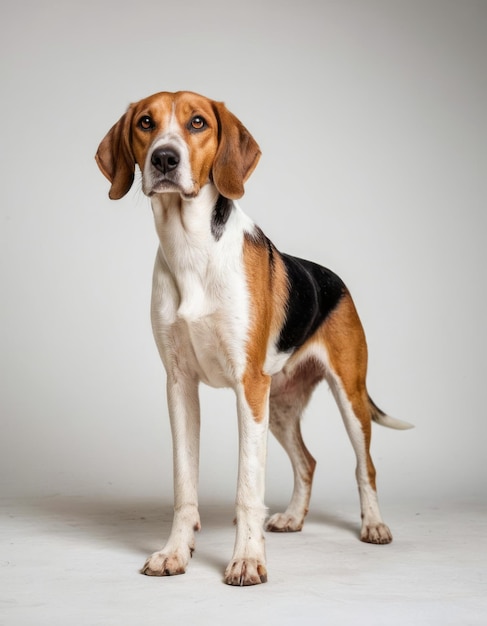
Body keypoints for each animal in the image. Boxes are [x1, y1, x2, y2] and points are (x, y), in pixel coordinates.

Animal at [95, 89, 412, 584]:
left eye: (198, 122)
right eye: (146, 122)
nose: (165, 158)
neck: (191, 250)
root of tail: (335, 280)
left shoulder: (247, 385)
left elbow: (248, 488)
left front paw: (246, 559)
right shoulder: (180, 386)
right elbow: (184, 484)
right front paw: (175, 553)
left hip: (346, 396)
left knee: (367, 468)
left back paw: (374, 526)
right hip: (277, 405)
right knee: (307, 462)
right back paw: (293, 517)